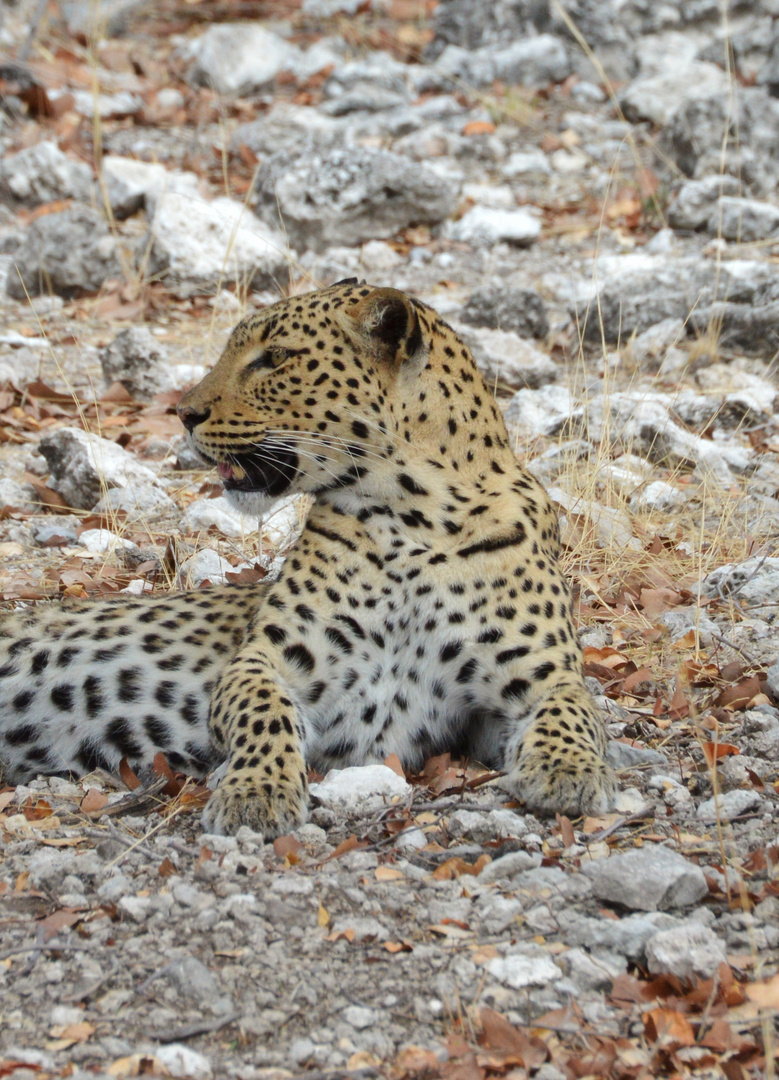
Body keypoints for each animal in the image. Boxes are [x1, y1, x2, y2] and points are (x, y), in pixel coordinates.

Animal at [0, 280, 613, 833]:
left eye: (274, 359)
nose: (183, 413)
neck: (416, 516)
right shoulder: (262, 661)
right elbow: (265, 715)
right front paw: (256, 792)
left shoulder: (539, 676)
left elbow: (573, 711)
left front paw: (569, 772)